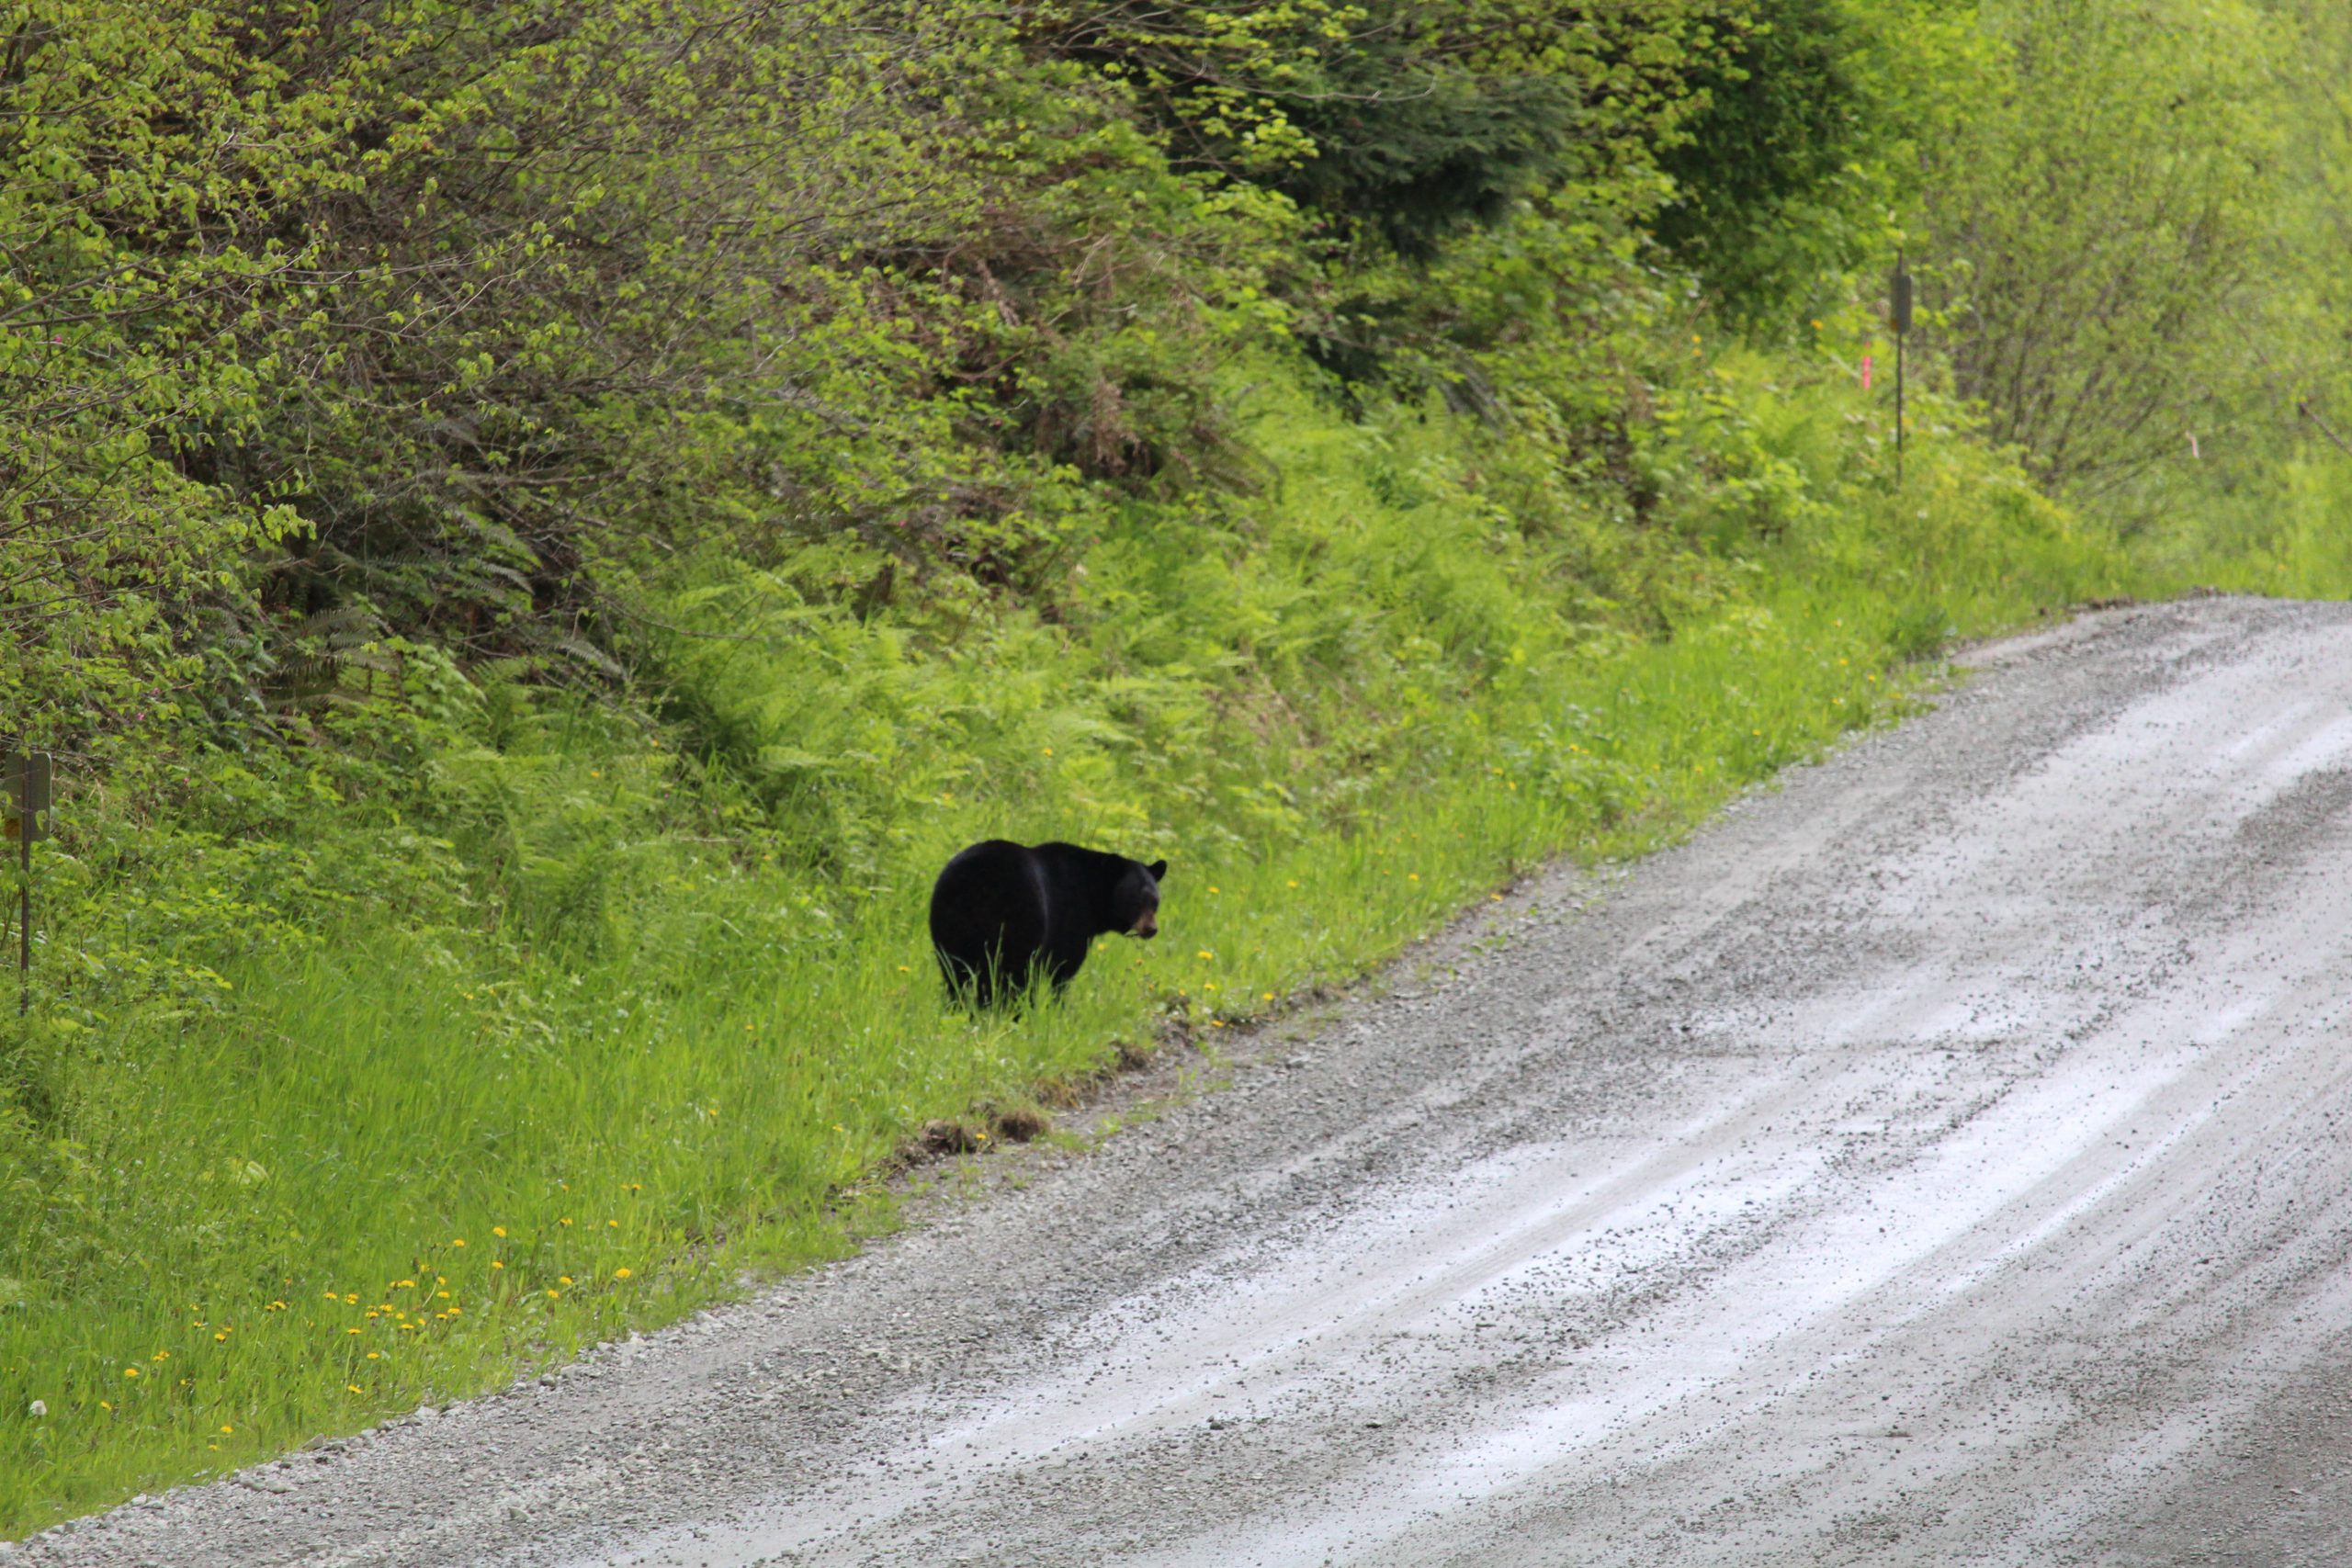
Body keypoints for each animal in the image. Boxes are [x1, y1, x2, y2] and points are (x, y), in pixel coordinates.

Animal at [926, 846, 1166, 1006]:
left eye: (1155, 901)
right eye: (1136, 901)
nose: (1151, 929)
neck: (1091, 891)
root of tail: (975, 885)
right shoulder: (1071, 922)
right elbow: (1062, 968)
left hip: (947, 925)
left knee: (954, 972)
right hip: (1020, 924)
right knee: (1012, 974)